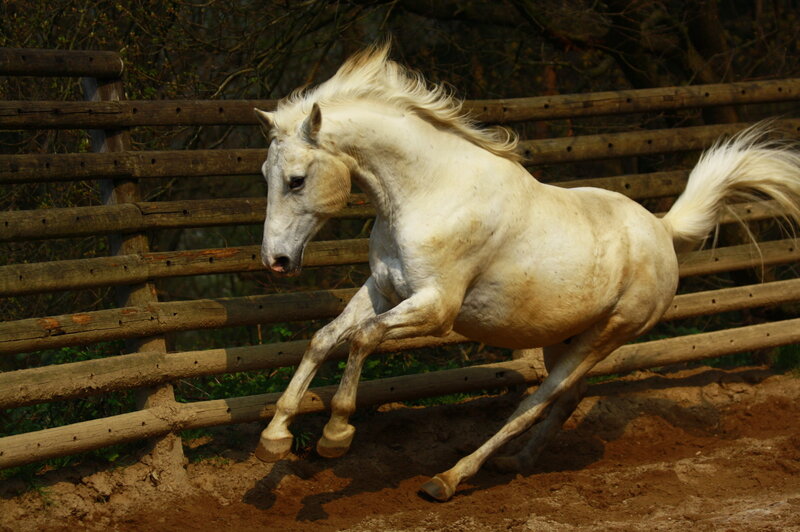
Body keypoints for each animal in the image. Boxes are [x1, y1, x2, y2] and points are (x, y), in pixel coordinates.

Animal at [251, 44, 800, 501]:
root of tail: (663, 231)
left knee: (536, 401)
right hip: (565, 335)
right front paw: (273, 439)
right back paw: (517, 464)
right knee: (568, 399)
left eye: (296, 180)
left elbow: (364, 338)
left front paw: (335, 437)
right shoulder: (383, 288)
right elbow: (324, 338)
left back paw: (449, 479)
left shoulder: (436, 308)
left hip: (606, 335)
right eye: (264, 176)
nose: (276, 261)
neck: (431, 193)